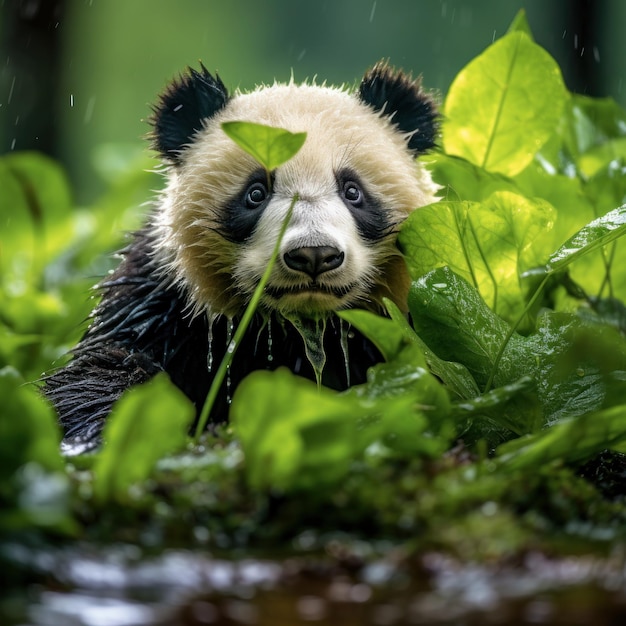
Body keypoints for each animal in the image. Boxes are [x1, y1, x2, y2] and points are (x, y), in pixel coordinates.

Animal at [44, 59, 436, 444]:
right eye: (255, 193)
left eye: (352, 191)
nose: (314, 255)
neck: (298, 331)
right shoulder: (163, 301)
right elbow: (108, 368)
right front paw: (90, 435)